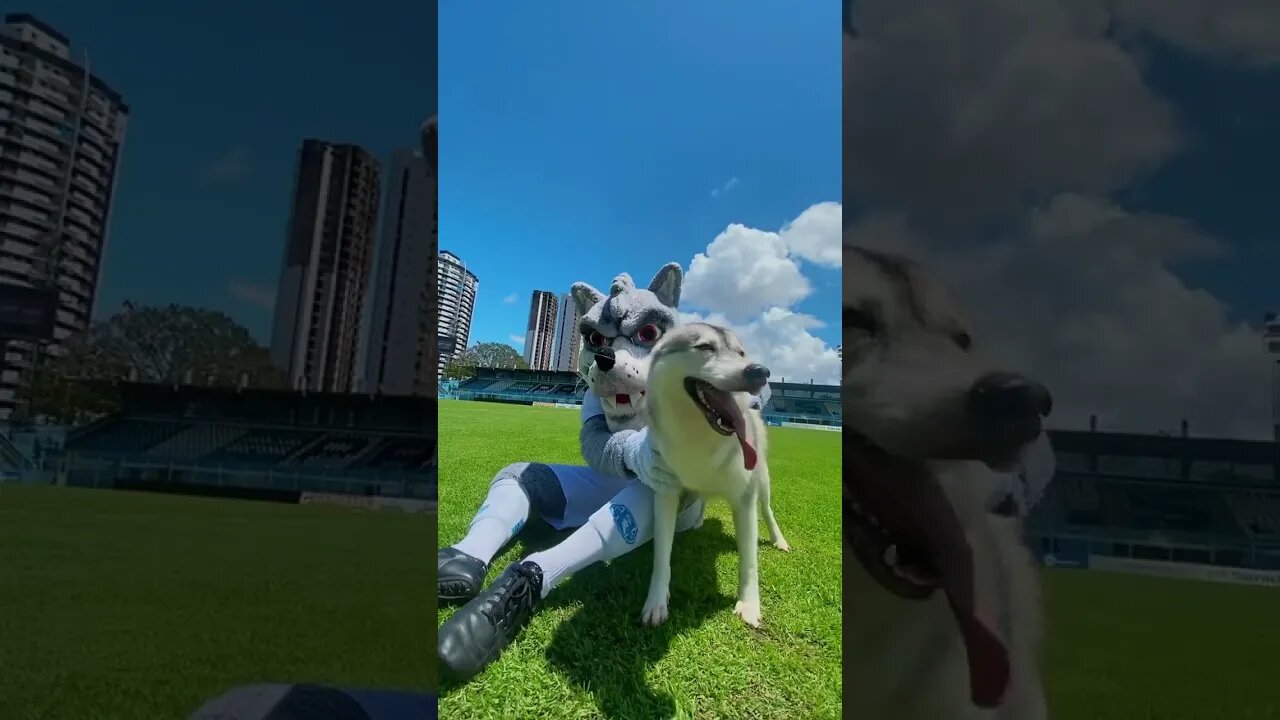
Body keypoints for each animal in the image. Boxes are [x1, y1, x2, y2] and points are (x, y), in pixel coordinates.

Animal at [634, 322, 783, 625]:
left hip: (762, 481)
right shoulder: (665, 494)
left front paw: (749, 605)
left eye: (740, 353)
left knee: (768, 510)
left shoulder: (744, 500)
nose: (760, 371)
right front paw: (656, 603)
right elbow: (661, 556)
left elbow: (749, 560)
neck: (699, 437)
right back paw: (699, 521)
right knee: (702, 499)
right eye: (705, 347)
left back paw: (779, 540)